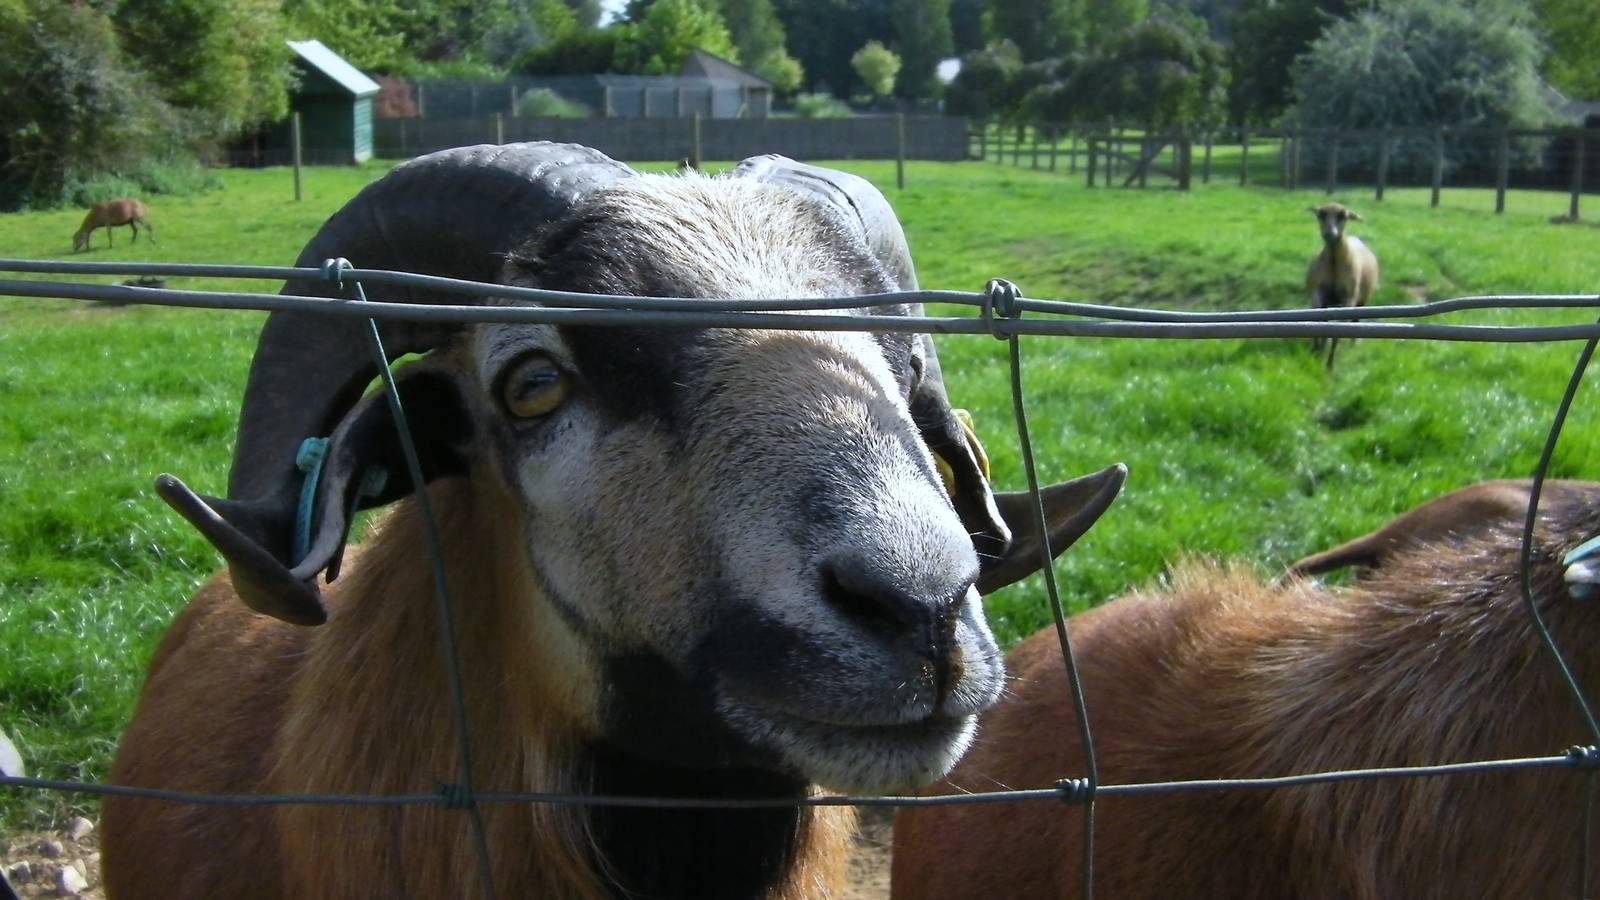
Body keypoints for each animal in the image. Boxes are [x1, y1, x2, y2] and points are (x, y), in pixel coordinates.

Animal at [1306, 201, 1377, 370]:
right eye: (1320, 214)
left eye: (1343, 216)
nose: (1329, 233)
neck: (1334, 263)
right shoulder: (1318, 294)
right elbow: (1318, 322)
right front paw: (1317, 352)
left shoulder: (1349, 298)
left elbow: (1338, 331)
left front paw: (1330, 364)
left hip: (1362, 300)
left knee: (1355, 321)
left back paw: (1352, 344)